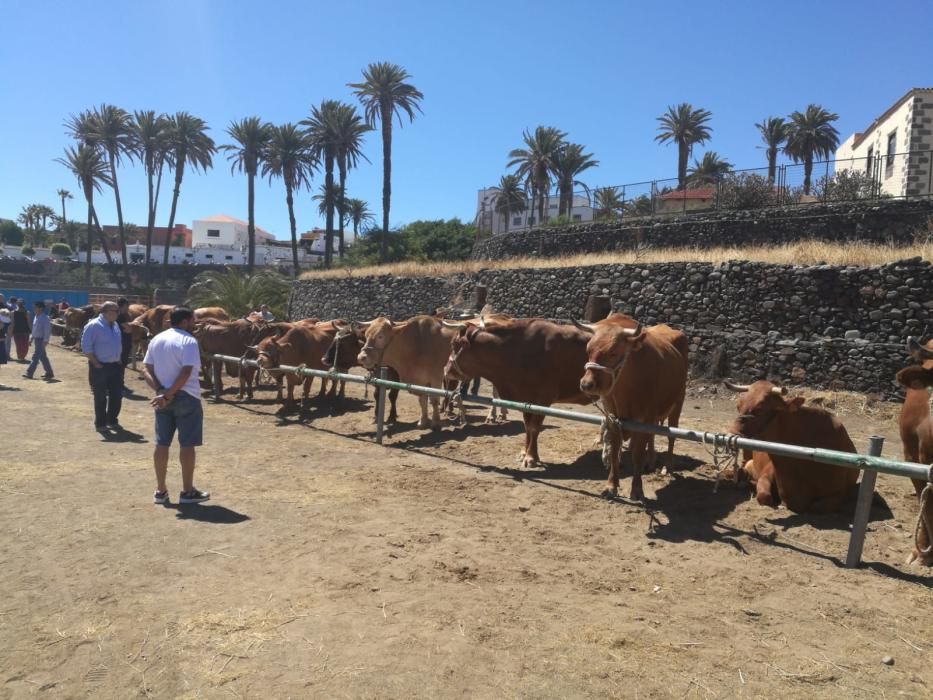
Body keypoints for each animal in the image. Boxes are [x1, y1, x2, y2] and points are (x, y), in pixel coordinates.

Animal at [444, 318, 588, 464]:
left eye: (453, 344)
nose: (446, 370)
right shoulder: (525, 399)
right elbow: (527, 426)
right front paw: (524, 453)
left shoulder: (543, 399)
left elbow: (534, 427)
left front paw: (531, 457)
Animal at [572, 318, 688, 504]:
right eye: (588, 349)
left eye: (613, 352)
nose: (586, 384)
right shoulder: (613, 419)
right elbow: (614, 452)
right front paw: (611, 486)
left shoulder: (643, 421)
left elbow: (637, 455)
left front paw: (637, 489)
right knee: (653, 435)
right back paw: (650, 460)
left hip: (678, 401)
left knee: (672, 435)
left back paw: (668, 466)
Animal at [720, 380, 860, 512]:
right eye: (738, 405)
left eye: (761, 408)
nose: (730, 434)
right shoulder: (768, 471)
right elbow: (764, 496)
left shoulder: (838, 493)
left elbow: (817, 507)